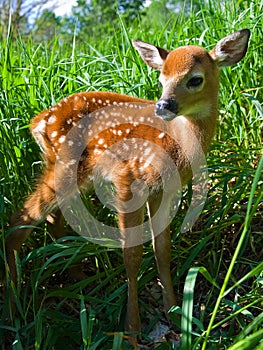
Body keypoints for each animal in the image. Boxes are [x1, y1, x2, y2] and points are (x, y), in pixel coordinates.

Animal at [5, 30, 251, 336]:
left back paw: (75, 279)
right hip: (65, 165)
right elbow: (132, 255)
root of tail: (38, 121)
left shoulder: (162, 191)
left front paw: (173, 311)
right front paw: (132, 328)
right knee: (20, 220)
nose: (163, 106)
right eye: (161, 80)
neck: (176, 142)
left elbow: (162, 249)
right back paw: (14, 308)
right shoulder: (128, 180)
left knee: (53, 218)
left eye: (195, 79)